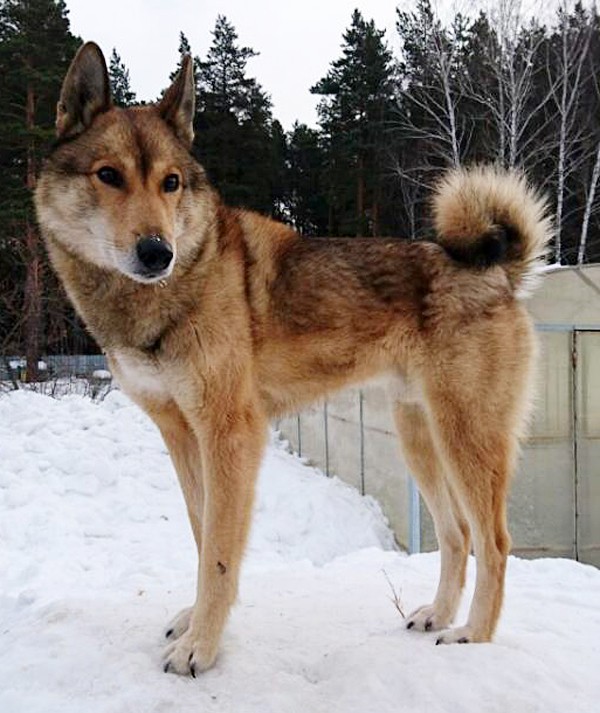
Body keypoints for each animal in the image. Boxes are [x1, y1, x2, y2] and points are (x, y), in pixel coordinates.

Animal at [35, 42, 552, 676]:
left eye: (171, 182)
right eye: (108, 175)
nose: (158, 252)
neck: (170, 292)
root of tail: (499, 272)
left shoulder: (230, 434)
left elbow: (219, 553)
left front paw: (201, 648)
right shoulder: (181, 435)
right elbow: (203, 537)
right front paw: (195, 622)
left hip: (468, 437)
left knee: (495, 542)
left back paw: (473, 635)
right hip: (419, 437)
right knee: (457, 534)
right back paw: (436, 614)